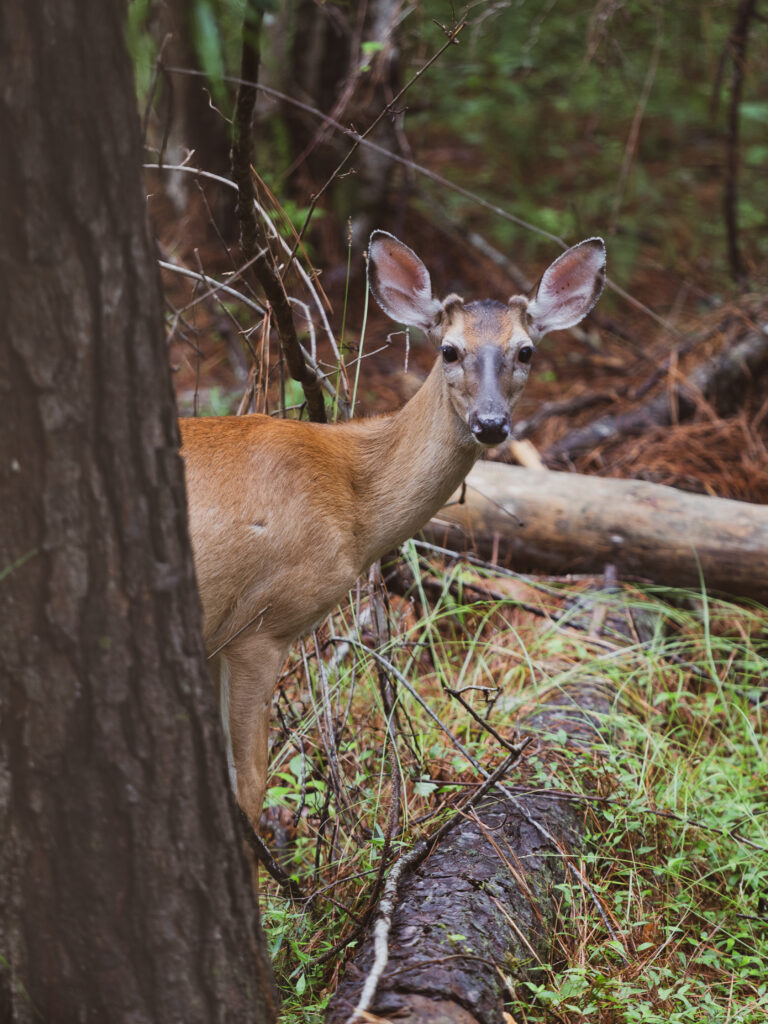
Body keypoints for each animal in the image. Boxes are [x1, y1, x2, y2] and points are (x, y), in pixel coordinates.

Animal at [179, 231, 606, 827]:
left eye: (526, 351)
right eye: (449, 350)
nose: (491, 423)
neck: (351, 500)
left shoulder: (221, 637)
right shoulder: (261, 624)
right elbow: (249, 787)